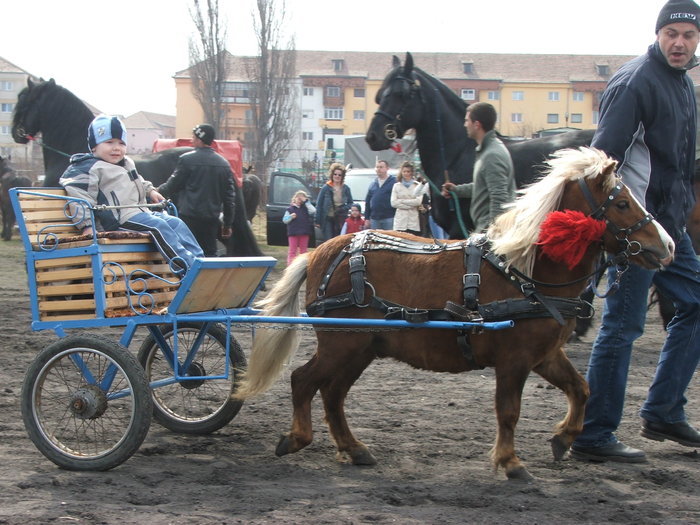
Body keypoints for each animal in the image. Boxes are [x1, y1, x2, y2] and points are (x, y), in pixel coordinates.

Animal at [235, 147, 672, 478]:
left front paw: (564, 438)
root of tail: (322, 252)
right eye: (621, 202)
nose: (666, 246)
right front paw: (510, 462)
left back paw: (353, 447)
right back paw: (297, 438)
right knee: (305, 381)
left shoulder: (544, 355)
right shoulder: (514, 360)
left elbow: (580, 389)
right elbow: (509, 411)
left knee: (332, 393)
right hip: (342, 344)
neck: (522, 272)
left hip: (362, 347)